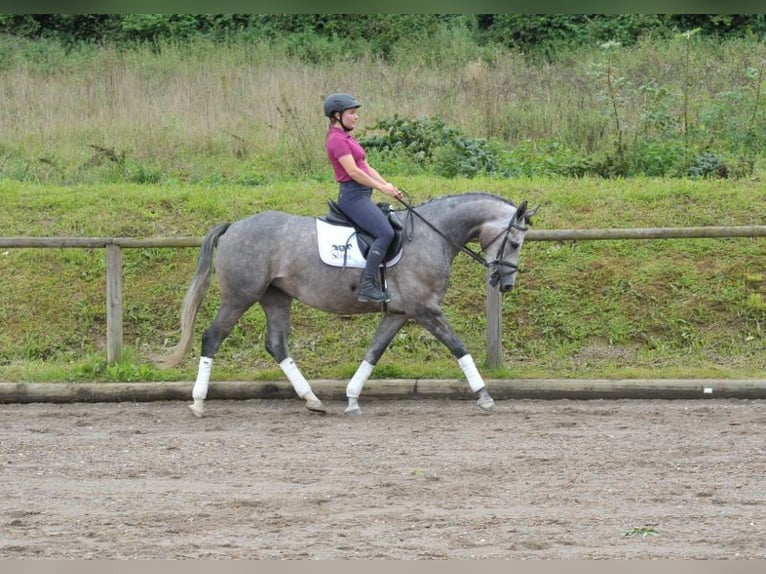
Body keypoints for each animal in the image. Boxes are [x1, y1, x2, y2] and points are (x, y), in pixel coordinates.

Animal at [159, 194, 536, 418]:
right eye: (516, 242)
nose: (506, 284)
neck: (432, 235)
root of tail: (234, 226)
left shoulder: (400, 313)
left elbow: (374, 351)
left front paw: (352, 397)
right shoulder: (425, 309)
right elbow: (458, 347)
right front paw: (484, 394)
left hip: (275, 297)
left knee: (276, 345)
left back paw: (312, 399)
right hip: (239, 297)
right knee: (212, 337)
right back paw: (198, 401)